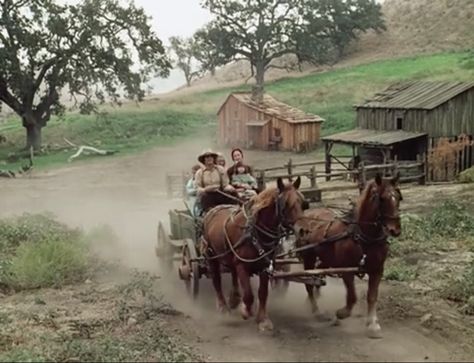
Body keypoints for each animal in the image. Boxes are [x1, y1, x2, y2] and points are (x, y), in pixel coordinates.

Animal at [199, 178, 304, 332]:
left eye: (302, 202)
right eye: (285, 204)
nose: (302, 230)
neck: (254, 231)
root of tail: (212, 210)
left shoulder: (265, 265)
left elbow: (263, 293)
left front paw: (263, 320)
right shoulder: (242, 265)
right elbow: (248, 294)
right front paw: (246, 311)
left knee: (232, 273)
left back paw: (234, 298)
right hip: (211, 257)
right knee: (216, 281)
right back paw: (223, 307)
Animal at [294, 173, 402, 338]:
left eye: (398, 197)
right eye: (382, 198)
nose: (395, 229)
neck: (364, 237)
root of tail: (309, 215)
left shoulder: (377, 270)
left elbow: (372, 296)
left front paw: (373, 325)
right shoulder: (346, 271)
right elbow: (352, 297)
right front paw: (341, 313)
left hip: (326, 260)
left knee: (317, 277)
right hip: (309, 258)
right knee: (309, 283)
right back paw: (316, 310)